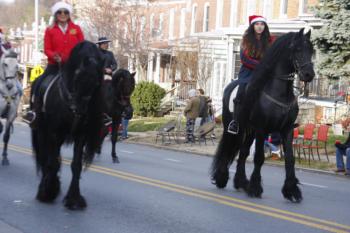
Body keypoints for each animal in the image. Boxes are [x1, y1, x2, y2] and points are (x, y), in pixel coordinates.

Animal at [31, 41, 104, 210]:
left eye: (96, 82)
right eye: (77, 76)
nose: (79, 110)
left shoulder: (80, 136)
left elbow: (76, 165)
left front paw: (74, 198)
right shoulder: (54, 133)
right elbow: (52, 161)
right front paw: (48, 191)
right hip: (42, 131)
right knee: (45, 156)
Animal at [212, 28, 316, 202]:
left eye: (311, 50)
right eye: (297, 49)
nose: (309, 74)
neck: (280, 92)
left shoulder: (287, 130)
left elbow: (290, 159)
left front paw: (291, 190)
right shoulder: (262, 129)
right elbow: (259, 157)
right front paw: (255, 188)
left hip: (249, 131)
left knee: (243, 152)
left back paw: (241, 182)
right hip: (232, 127)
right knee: (228, 148)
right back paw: (222, 178)